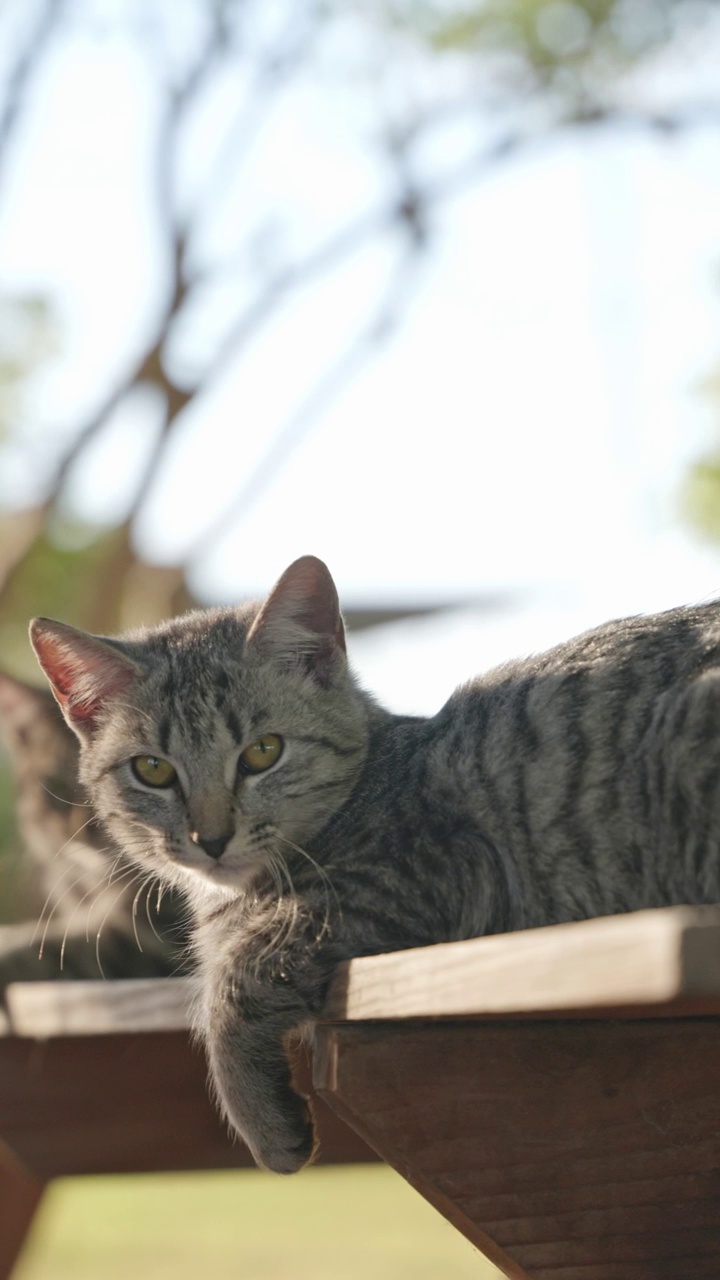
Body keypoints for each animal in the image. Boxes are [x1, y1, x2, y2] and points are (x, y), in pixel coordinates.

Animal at [28, 550, 720, 1172]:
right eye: (152, 769)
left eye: (263, 752)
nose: (212, 838)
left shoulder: (419, 875)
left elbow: (236, 978)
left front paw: (261, 1121)